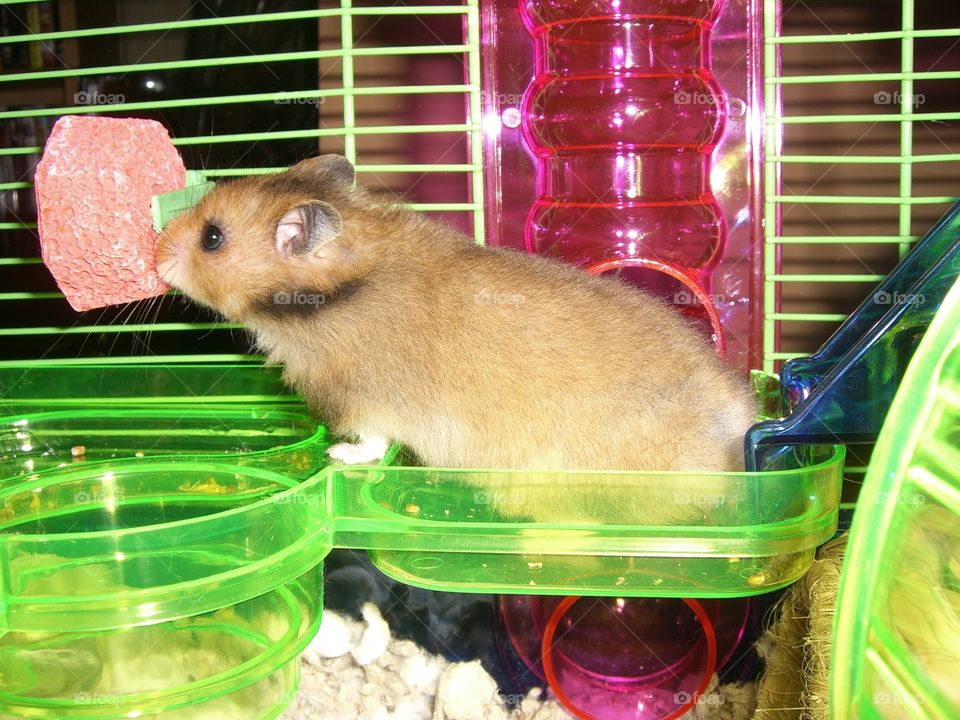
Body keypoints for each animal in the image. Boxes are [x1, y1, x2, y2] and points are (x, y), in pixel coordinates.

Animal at [157, 155, 757, 525]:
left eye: (213, 238)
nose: (155, 251)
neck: (335, 294)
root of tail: (735, 425)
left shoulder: (367, 403)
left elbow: (371, 442)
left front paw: (336, 453)